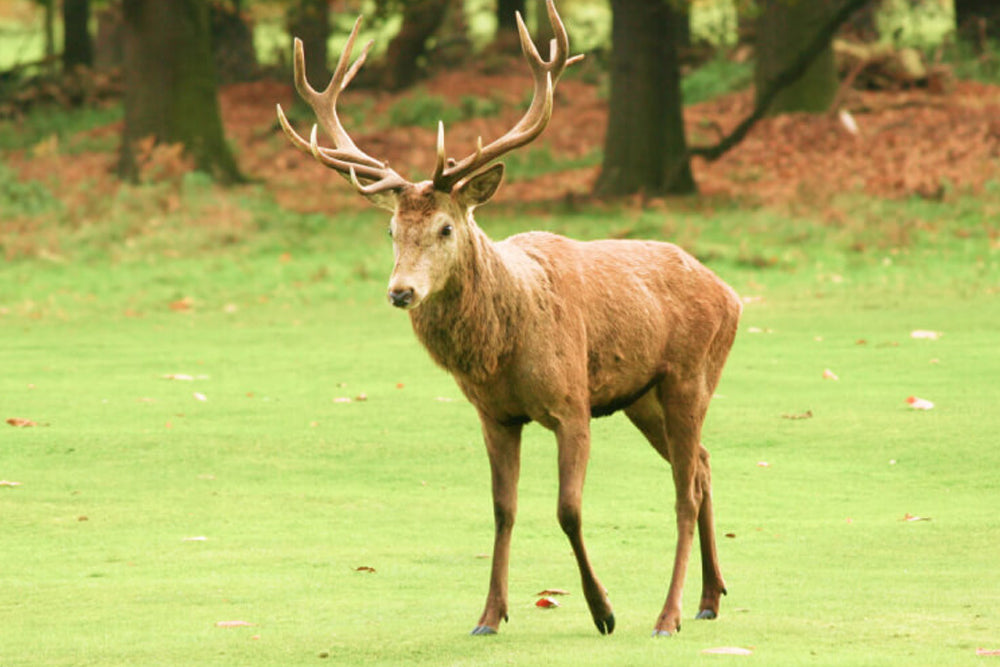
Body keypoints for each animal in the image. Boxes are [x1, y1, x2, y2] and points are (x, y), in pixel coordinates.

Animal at [276, 0, 741, 638]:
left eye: (447, 227)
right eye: (391, 230)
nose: (400, 291)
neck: (504, 349)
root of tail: (732, 295)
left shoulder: (572, 401)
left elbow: (568, 509)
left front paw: (603, 610)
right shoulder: (494, 415)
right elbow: (502, 509)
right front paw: (489, 615)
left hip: (690, 375)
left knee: (684, 491)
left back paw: (667, 615)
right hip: (642, 396)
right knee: (702, 465)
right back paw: (711, 596)